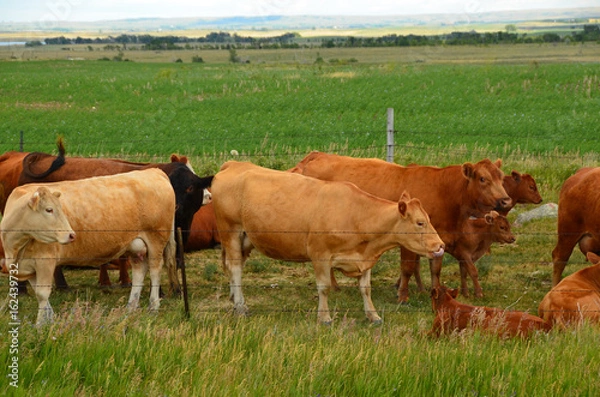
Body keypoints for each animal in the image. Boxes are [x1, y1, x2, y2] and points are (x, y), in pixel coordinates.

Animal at [212, 161, 446, 324]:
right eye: (420, 222)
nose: (440, 246)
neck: (355, 214)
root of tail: (234, 164)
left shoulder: (364, 259)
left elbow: (366, 288)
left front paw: (373, 316)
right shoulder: (320, 255)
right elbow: (324, 287)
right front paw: (324, 317)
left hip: (246, 238)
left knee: (235, 267)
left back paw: (234, 298)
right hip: (230, 232)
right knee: (235, 268)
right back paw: (240, 305)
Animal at [288, 150, 508, 302]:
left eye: (501, 177)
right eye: (483, 178)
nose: (505, 200)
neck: (444, 191)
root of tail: (314, 156)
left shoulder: (439, 240)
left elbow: (435, 269)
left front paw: (436, 292)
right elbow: (408, 268)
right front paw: (402, 295)